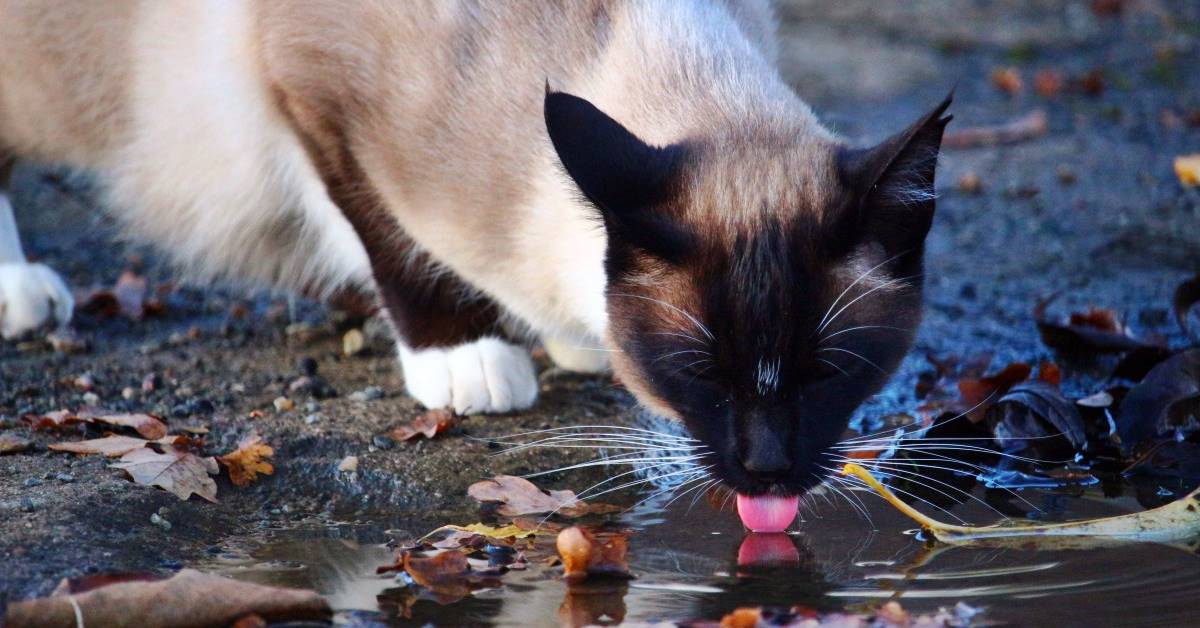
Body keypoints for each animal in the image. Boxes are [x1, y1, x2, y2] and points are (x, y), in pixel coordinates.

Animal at [2, 1, 955, 506]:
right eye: (703, 376)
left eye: (830, 373)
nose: (768, 474)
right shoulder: (311, 92)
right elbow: (388, 235)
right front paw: (468, 358)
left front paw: (570, 337)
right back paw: (18, 289)